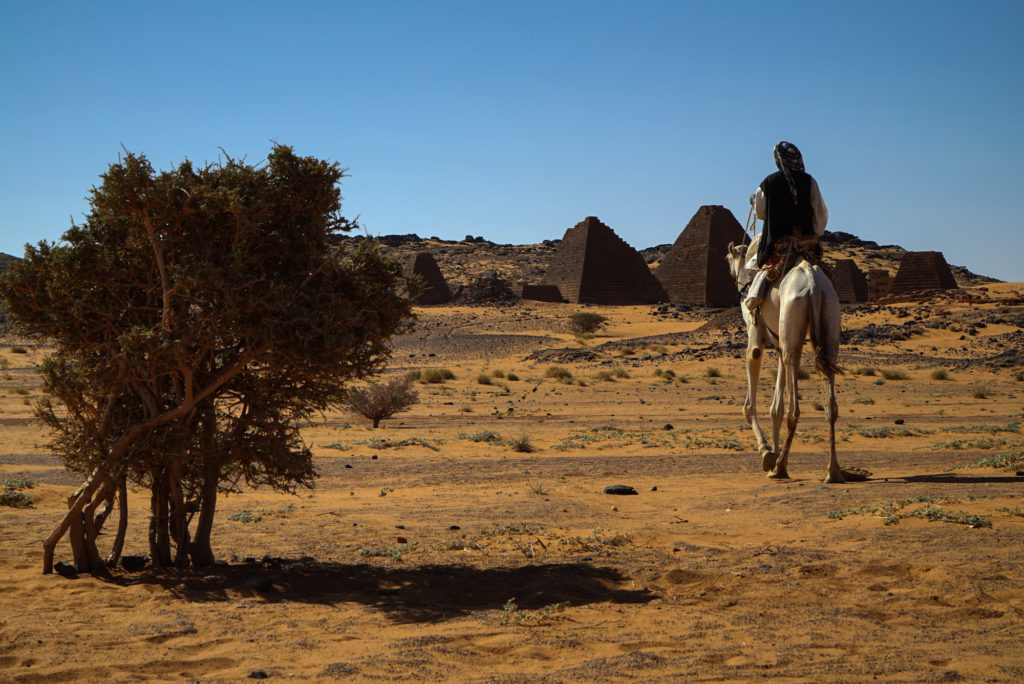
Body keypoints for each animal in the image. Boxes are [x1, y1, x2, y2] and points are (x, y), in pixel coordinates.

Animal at [724, 237, 843, 483]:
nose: (732, 276)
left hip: (793, 324)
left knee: (794, 410)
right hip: (828, 324)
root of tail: (813, 284)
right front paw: (774, 453)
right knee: (831, 405)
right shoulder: (778, 343)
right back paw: (833, 470)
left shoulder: (755, 338)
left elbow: (749, 406)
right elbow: (775, 409)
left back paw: (781, 467)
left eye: (727, 258)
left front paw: (767, 453)